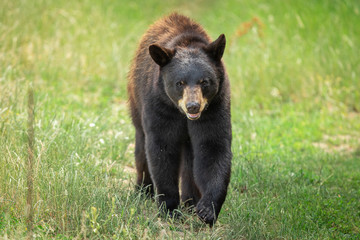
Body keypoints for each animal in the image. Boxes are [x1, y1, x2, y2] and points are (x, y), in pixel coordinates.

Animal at [128, 13, 232, 225]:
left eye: (204, 81)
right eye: (180, 83)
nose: (193, 106)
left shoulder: (216, 107)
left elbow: (213, 148)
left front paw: (207, 209)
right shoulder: (160, 105)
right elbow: (162, 148)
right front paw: (169, 208)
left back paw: (190, 201)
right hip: (136, 102)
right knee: (141, 147)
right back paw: (143, 190)